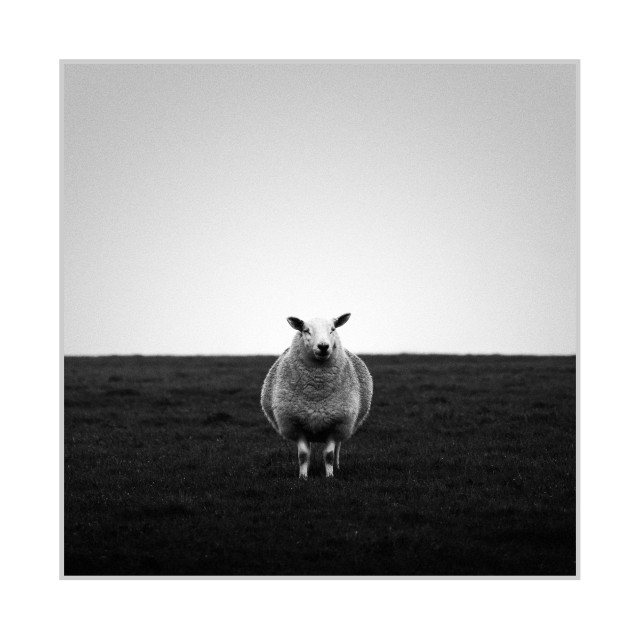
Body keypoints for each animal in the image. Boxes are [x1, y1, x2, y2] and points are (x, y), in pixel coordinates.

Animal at [261, 313, 373, 479]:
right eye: (306, 330)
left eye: (332, 329)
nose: (323, 346)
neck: (317, 391)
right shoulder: (297, 424)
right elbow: (303, 455)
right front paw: (303, 477)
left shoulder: (336, 424)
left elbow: (329, 455)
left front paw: (330, 476)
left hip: (344, 425)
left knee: (338, 447)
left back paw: (337, 467)